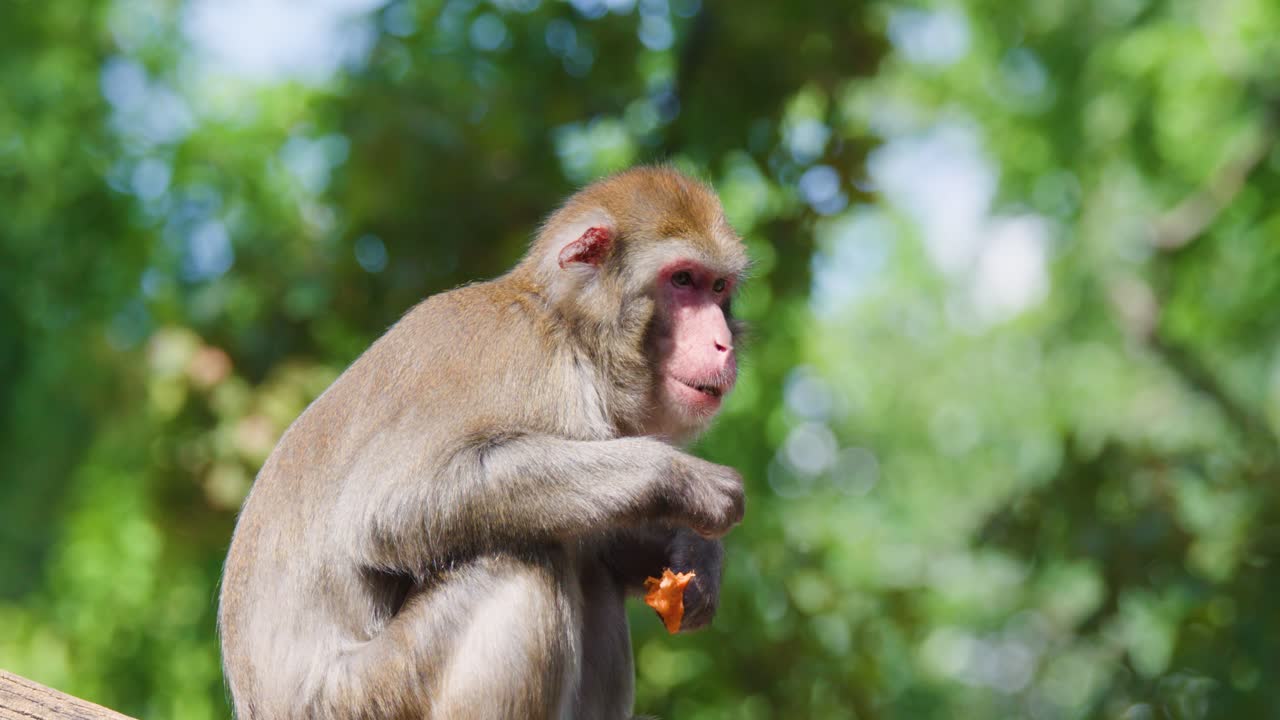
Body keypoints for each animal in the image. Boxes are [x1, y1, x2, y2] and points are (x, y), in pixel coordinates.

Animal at [218, 166, 749, 719]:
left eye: (718, 287)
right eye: (682, 280)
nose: (722, 344)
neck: (570, 332)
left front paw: (695, 553)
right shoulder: (527, 361)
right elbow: (385, 509)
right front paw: (681, 478)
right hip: (372, 693)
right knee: (522, 560)